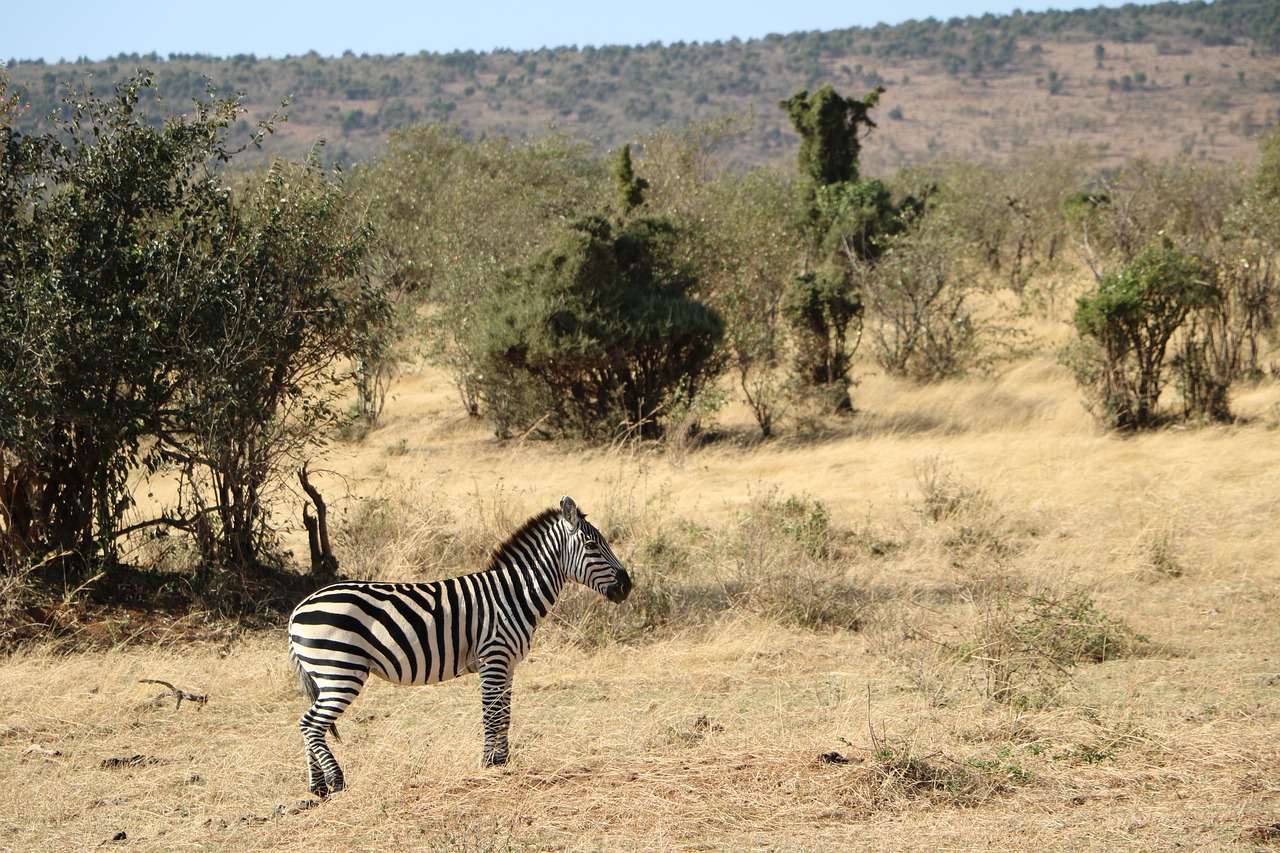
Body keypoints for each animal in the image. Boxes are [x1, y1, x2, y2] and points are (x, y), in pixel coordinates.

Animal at [288, 494, 632, 794]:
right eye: (592, 545)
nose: (628, 587)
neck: (513, 595)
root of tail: (297, 610)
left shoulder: (508, 665)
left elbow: (505, 715)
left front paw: (501, 763)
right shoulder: (493, 657)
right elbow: (492, 715)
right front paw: (489, 765)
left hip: (329, 674)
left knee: (308, 724)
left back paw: (317, 788)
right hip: (340, 671)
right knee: (310, 724)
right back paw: (336, 782)